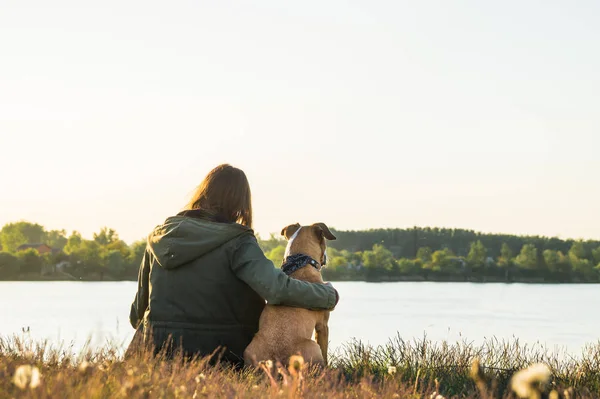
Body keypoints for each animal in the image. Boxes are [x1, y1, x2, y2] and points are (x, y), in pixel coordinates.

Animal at [244, 222, 338, 368]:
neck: (300, 264)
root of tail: (277, 361)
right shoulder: (323, 326)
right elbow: (325, 352)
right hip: (312, 346)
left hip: (250, 348)